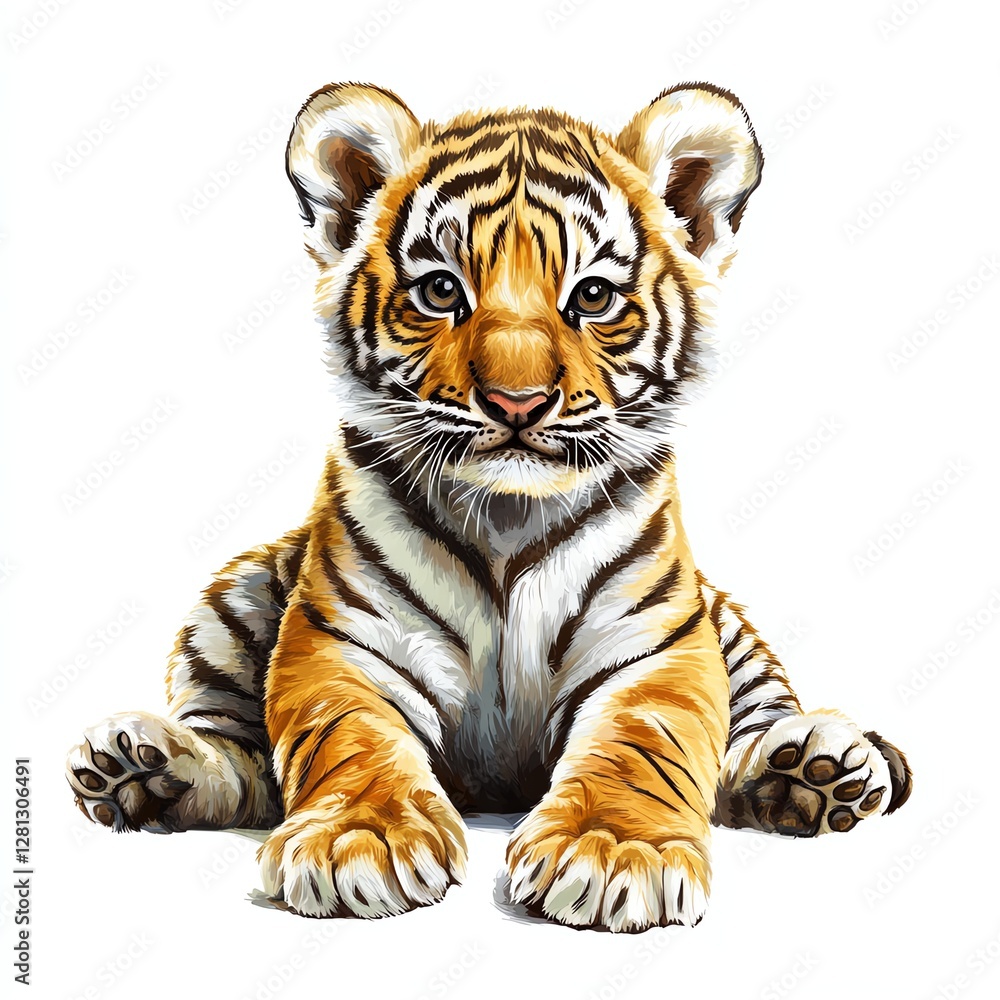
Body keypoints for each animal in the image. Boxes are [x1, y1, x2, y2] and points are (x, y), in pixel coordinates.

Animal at [66, 81, 912, 933]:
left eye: (593, 296)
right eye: (442, 290)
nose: (517, 402)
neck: (509, 515)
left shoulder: (655, 645)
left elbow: (645, 740)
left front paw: (613, 852)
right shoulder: (345, 643)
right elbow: (348, 737)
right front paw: (357, 841)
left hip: (724, 622)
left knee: (762, 717)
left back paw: (810, 768)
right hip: (235, 597)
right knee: (238, 757)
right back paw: (139, 767)